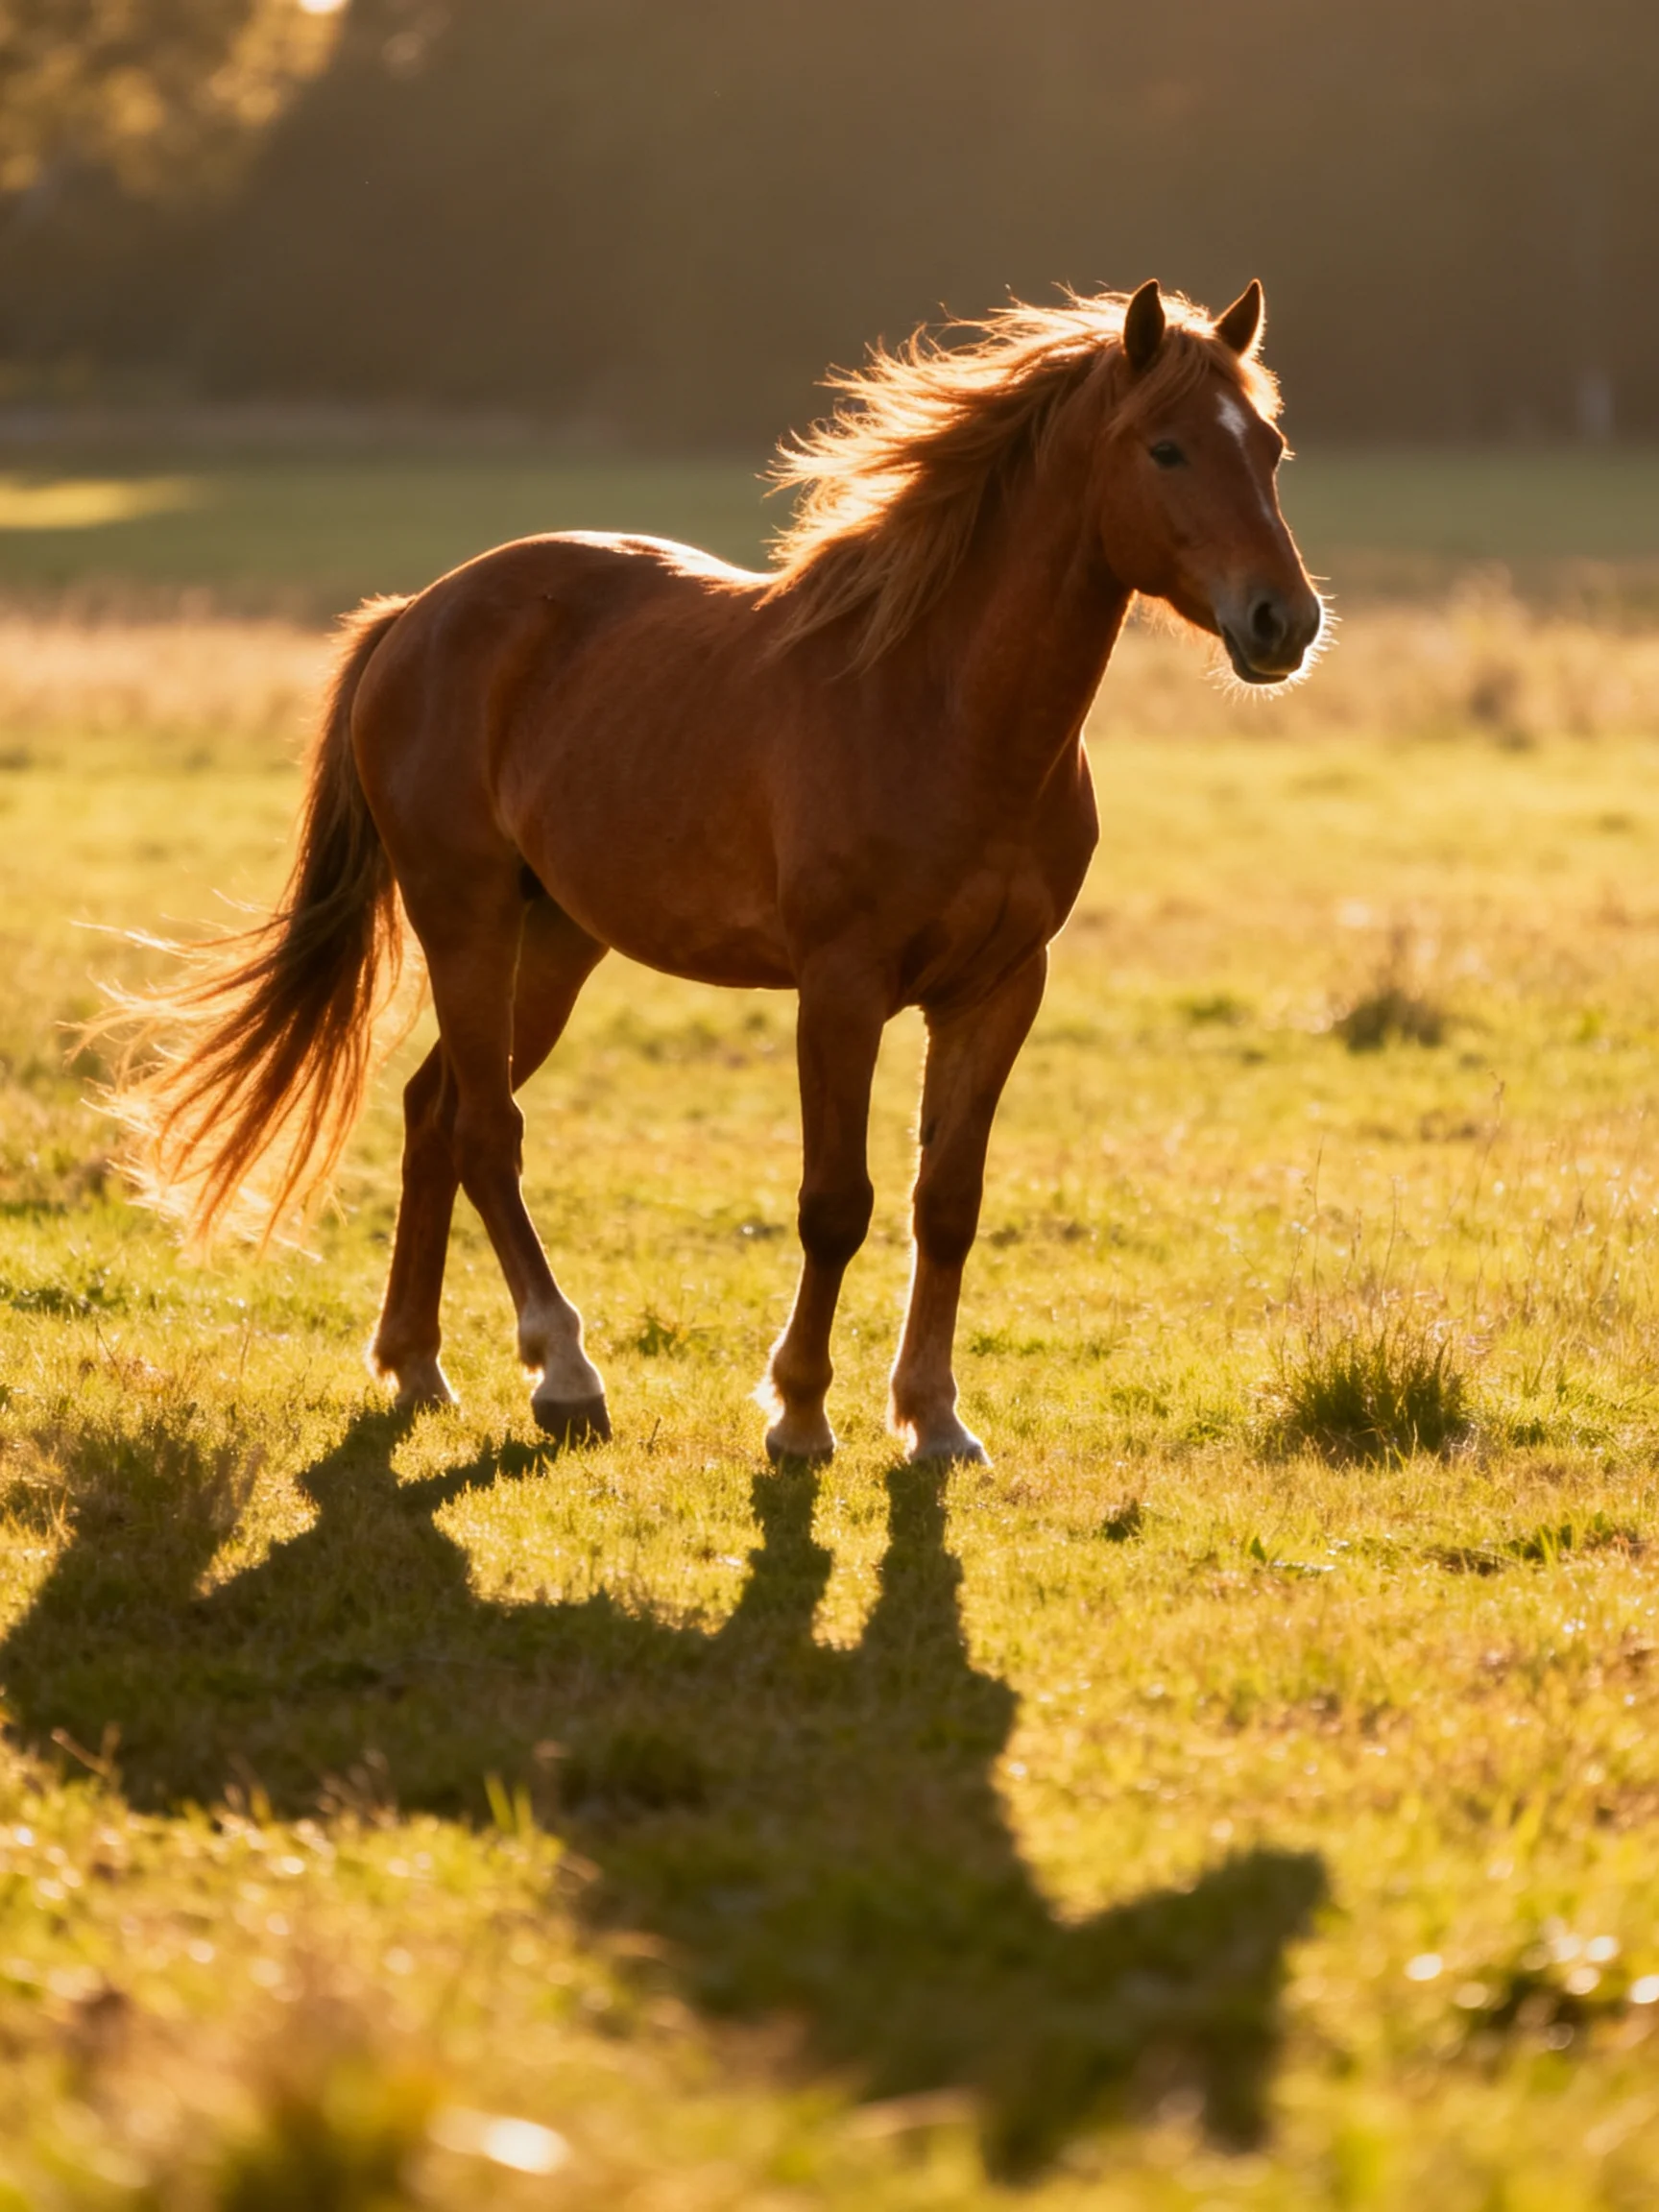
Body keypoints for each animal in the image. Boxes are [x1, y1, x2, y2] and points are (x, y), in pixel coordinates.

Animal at [116, 278, 1323, 1465]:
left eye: (1268, 447)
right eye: (1166, 449)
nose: (1285, 621)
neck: (942, 712)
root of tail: (417, 614)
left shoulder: (999, 990)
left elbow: (948, 1203)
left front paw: (933, 1417)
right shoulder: (840, 989)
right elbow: (836, 1202)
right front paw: (800, 1412)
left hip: (555, 942)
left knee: (434, 1113)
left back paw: (416, 1362)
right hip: (465, 920)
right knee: (484, 1131)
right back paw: (564, 1373)